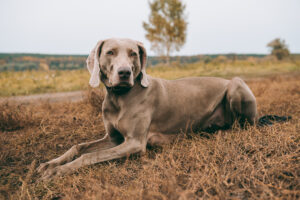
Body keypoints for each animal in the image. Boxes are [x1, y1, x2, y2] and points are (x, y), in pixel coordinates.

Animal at [37, 38, 256, 180]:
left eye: (133, 53)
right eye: (110, 52)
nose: (124, 73)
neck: (120, 98)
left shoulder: (134, 143)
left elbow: (90, 155)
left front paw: (58, 171)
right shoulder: (113, 139)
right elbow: (78, 147)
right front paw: (51, 163)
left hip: (236, 84)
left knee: (242, 125)